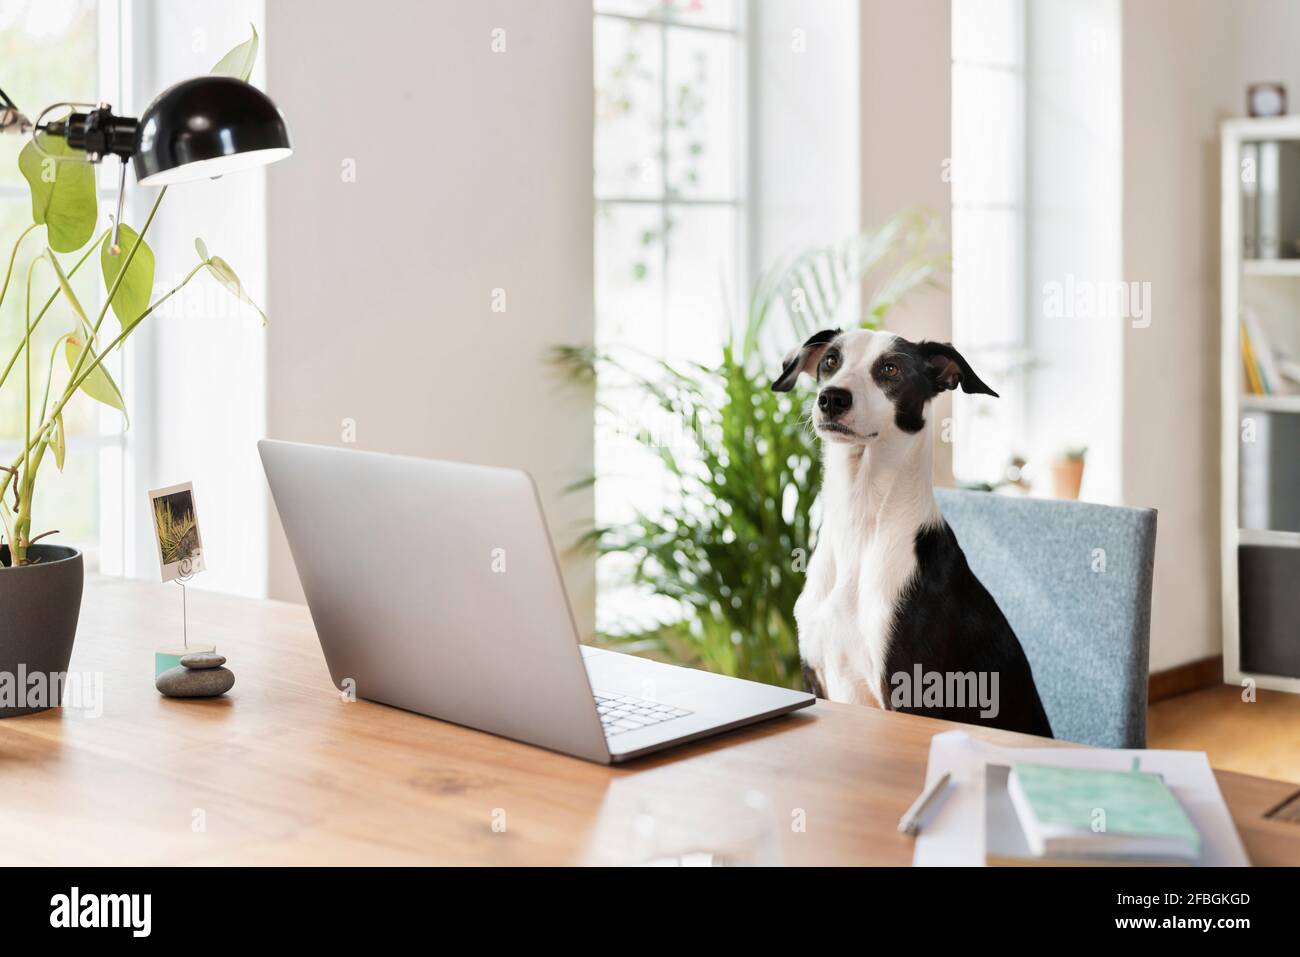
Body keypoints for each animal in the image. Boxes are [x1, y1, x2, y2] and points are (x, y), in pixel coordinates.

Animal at [774, 325, 1050, 738]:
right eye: (831, 361)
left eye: (891, 369)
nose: (832, 398)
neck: (861, 528)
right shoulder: (816, 675)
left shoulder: (911, 693)